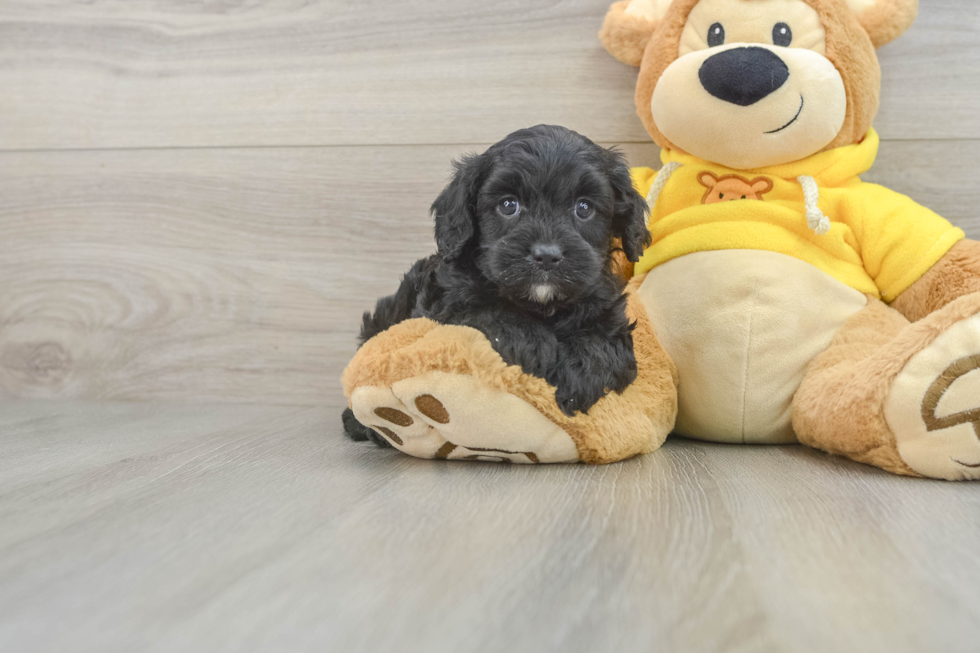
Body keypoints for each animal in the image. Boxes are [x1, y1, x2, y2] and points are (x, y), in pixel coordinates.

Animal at [344, 125, 652, 446]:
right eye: (508, 205)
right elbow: (491, 313)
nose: (546, 255)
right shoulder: (447, 303)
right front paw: (536, 347)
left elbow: (605, 342)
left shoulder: (607, 309)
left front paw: (580, 375)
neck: (541, 304)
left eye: (584, 208)